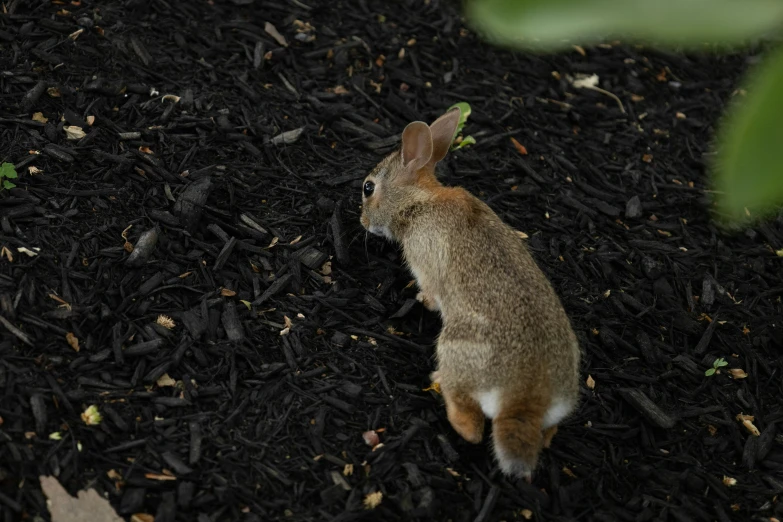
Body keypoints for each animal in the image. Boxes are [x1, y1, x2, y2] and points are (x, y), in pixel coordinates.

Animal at [362, 106, 580, 480]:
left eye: (368, 187)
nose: (362, 221)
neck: (419, 201)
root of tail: (524, 398)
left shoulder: (424, 259)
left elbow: (431, 291)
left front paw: (422, 300)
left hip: (456, 348)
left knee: (470, 425)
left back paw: (439, 382)